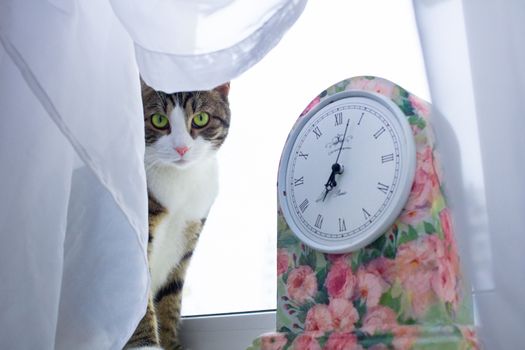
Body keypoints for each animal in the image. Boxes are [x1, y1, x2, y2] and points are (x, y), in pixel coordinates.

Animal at [126, 80, 230, 350]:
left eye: (201, 118)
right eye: (159, 120)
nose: (181, 148)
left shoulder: (188, 233)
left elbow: (170, 298)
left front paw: (171, 344)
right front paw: (148, 346)